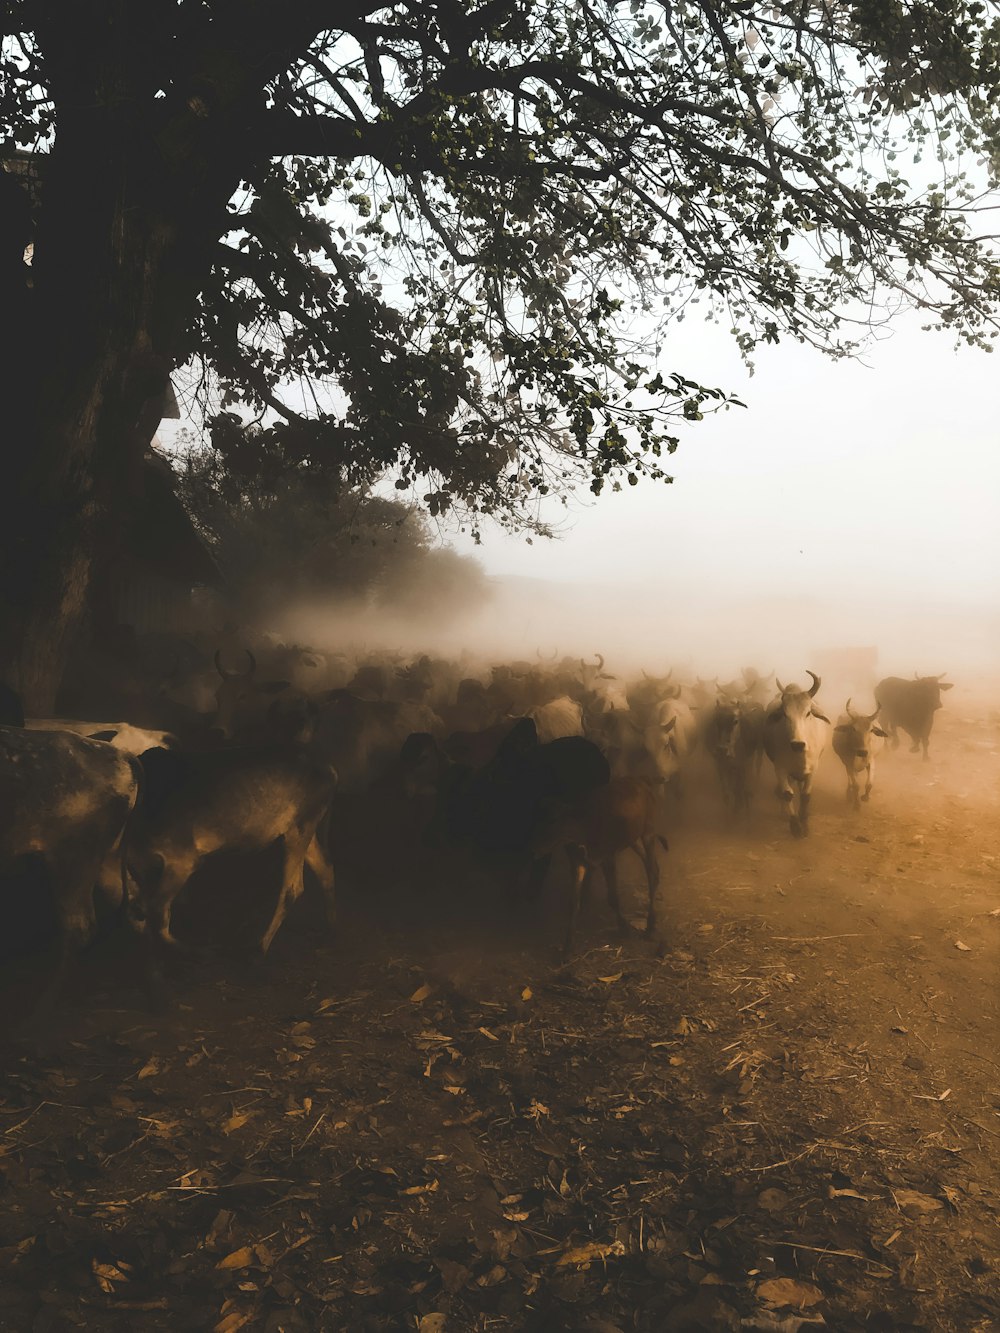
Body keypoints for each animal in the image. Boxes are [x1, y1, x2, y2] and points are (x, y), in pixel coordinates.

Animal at [124, 751, 337, 959]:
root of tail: (330, 772)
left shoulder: (182, 863)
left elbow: (157, 913)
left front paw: (202, 951)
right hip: (302, 831)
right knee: (325, 870)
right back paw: (329, 936)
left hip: (299, 829)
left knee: (293, 887)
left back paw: (259, 946)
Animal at [762, 677, 832, 831]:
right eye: (784, 714)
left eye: (808, 713)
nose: (797, 744)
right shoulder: (780, 769)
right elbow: (787, 794)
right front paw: (795, 826)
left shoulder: (813, 769)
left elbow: (805, 795)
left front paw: (804, 821)